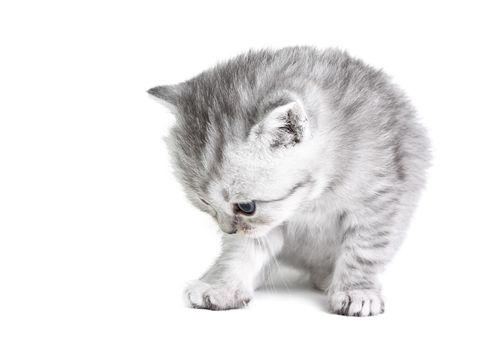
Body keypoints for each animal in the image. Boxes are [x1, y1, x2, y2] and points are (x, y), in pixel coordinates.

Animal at [147, 47, 428, 318]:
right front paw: (222, 286)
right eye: (205, 203)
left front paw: (356, 291)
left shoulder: (379, 201)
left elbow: (363, 251)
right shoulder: (264, 227)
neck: (312, 200)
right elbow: (240, 253)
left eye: (246, 207)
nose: (227, 231)